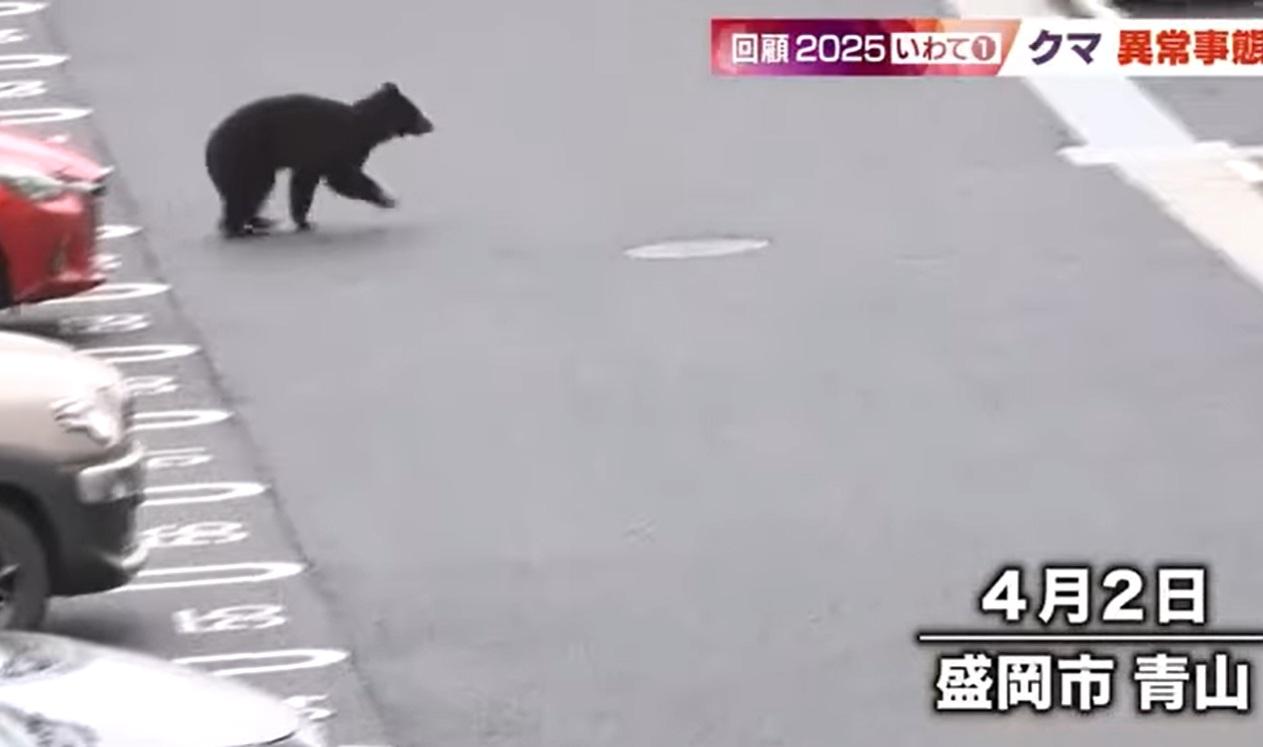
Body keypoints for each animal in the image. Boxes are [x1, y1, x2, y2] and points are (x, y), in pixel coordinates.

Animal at [204, 82, 434, 238]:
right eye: (416, 111)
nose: (431, 124)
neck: (364, 126)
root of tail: (209, 148)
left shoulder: (311, 161)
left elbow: (303, 185)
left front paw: (304, 221)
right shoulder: (337, 148)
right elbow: (342, 179)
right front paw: (388, 198)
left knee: (248, 195)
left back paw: (258, 222)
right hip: (247, 158)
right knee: (250, 191)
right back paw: (243, 228)